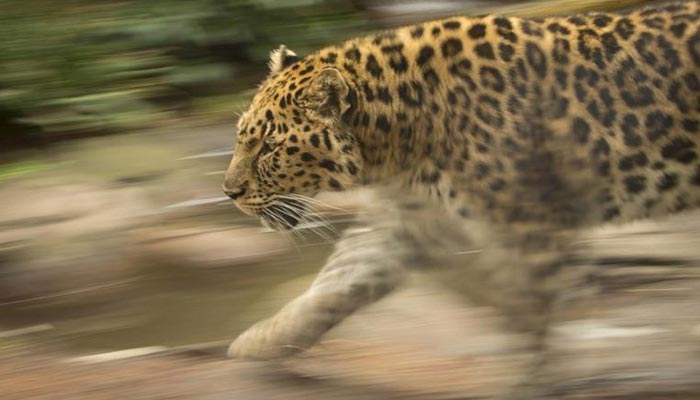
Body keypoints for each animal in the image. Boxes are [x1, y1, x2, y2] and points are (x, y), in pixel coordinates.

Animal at [221, 0, 700, 392]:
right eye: (242, 137)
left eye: (269, 147)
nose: (229, 192)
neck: (395, 143)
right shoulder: (404, 222)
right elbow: (334, 284)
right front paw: (260, 340)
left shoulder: (533, 229)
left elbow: (536, 310)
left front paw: (529, 378)